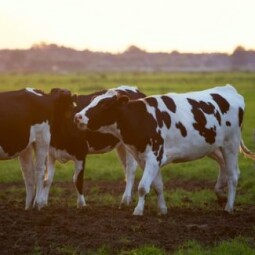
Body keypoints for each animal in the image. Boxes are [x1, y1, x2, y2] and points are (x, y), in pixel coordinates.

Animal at [74, 85, 255, 215]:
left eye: (104, 105)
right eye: (92, 101)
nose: (78, 117)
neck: (142, 118)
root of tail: (228, 89)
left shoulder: (154, 157)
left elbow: (143, 187)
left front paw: (138, 210)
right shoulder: (145, 159)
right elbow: (157, 186)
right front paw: (162, 209)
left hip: (230, 144)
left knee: (233, 175)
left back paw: (229, 207)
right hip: (213, 146)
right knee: (225, 167)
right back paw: (220, 194)